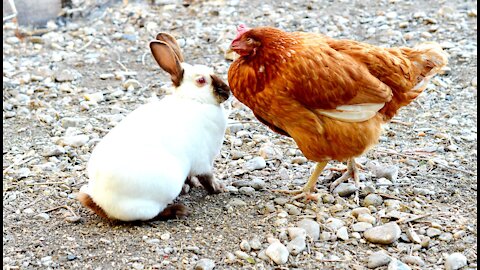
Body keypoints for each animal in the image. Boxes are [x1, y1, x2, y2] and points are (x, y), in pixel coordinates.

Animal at [77, 32, 231, 221]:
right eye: (201, 80)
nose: (227, 91)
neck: (193, 100)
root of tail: (104, 205)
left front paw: (191, 185)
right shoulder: (203, 160)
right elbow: (207, 178)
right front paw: (219, 189)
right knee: (151, 215)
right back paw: (178, 210)